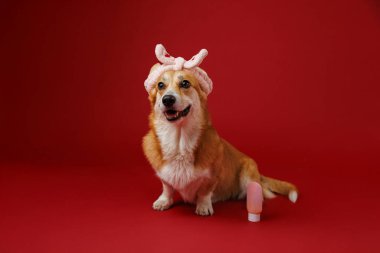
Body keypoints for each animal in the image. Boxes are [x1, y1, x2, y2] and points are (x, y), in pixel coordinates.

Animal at [142, 44, 296, 216]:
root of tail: (259, 174)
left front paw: (203, 207)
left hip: (247, 171)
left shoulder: (212, 176)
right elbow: (167, 187)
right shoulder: (164, 175)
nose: (167, 99)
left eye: (185, 84)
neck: (179, 141)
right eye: (160, 85)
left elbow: (204, 192)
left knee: (260, 191)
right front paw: (163, 201)